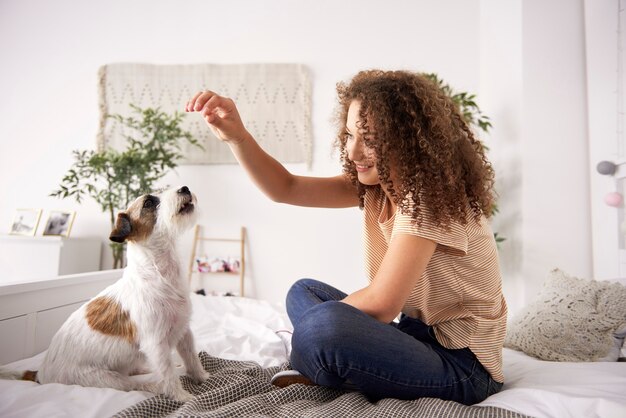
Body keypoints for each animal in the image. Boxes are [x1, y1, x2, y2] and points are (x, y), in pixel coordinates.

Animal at [0, 186, 210, 402]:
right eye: (149, 203)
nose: (184, 188)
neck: (160, 271)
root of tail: (40, 374)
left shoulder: (184, 331)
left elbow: (192, 357)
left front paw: (202, 377)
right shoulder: (156, 344)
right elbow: (168, 373)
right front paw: (182, 396)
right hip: (105, 378)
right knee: (134, 383)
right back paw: (153, 384)